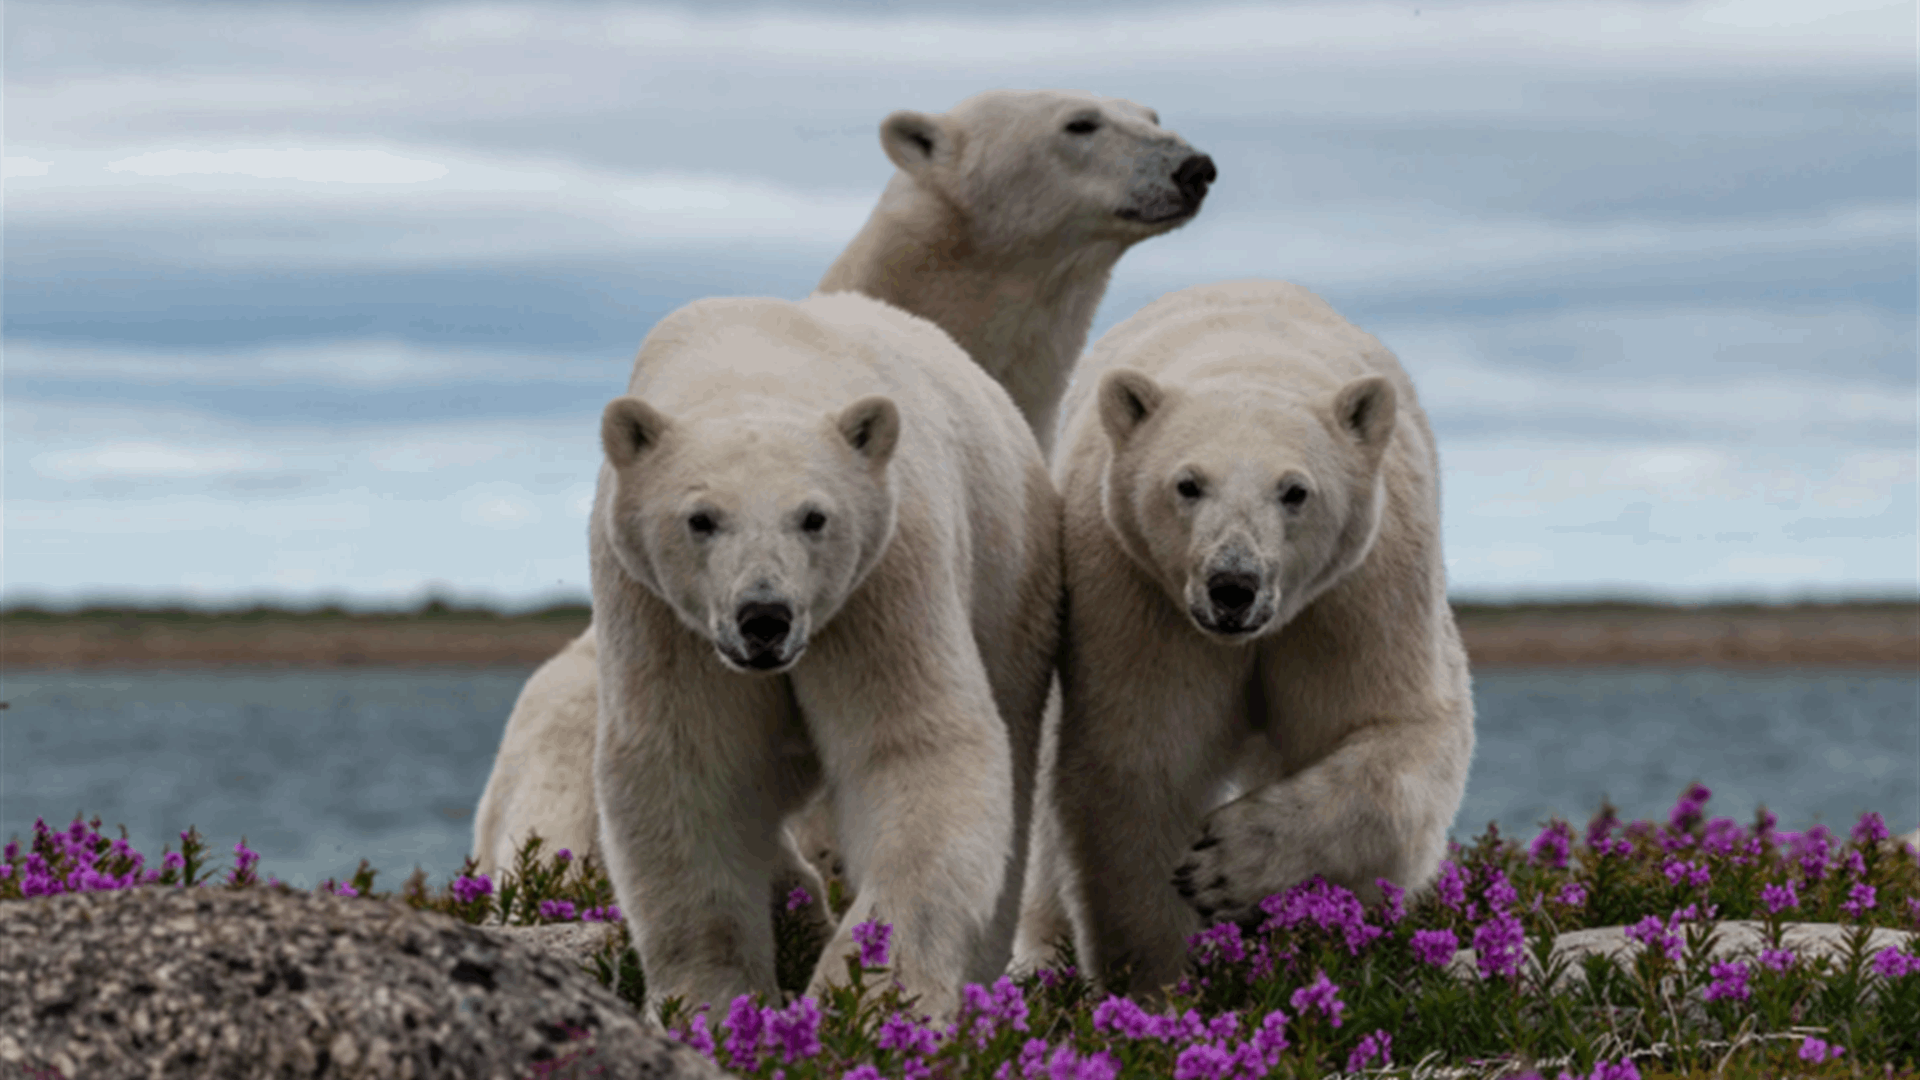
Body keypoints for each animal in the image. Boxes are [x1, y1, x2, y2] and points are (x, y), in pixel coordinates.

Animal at [587, 290, 1059, 1014]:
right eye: (701, 518)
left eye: (813, 517)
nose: (764, 617)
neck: (751, 366)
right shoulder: (660, 610)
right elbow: (687, 764)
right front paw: (709, 1001)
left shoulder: (882, 578)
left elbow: (912, 746)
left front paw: (872, 991)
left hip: (1009, 582)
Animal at [1029, 276, 1474, 991]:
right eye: (1187, 484)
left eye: (1295, 491)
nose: (1232, 584)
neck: (1250, 362)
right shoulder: (1138, 595)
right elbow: (1143, 761)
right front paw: (1158, 979)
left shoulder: (1357, 594)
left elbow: (1392, 733)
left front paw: (1231, 865)